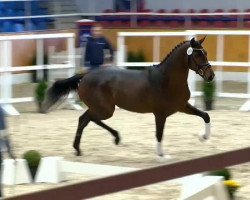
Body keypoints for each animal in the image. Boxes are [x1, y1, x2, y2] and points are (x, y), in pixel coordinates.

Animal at [42, 36, 215, 157]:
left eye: (206, 53)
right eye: (198, 56)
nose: (211, 76)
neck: (167, 79)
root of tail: (84, 76)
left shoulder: (182, 106)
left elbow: (205, 115)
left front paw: (203, 137)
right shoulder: (160, 114)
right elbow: (159, 134)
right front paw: (161, 155)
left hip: (102, 108)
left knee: (86, 119)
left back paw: (84, 147)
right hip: (105, 109)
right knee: (87, 119)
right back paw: (97, 143)